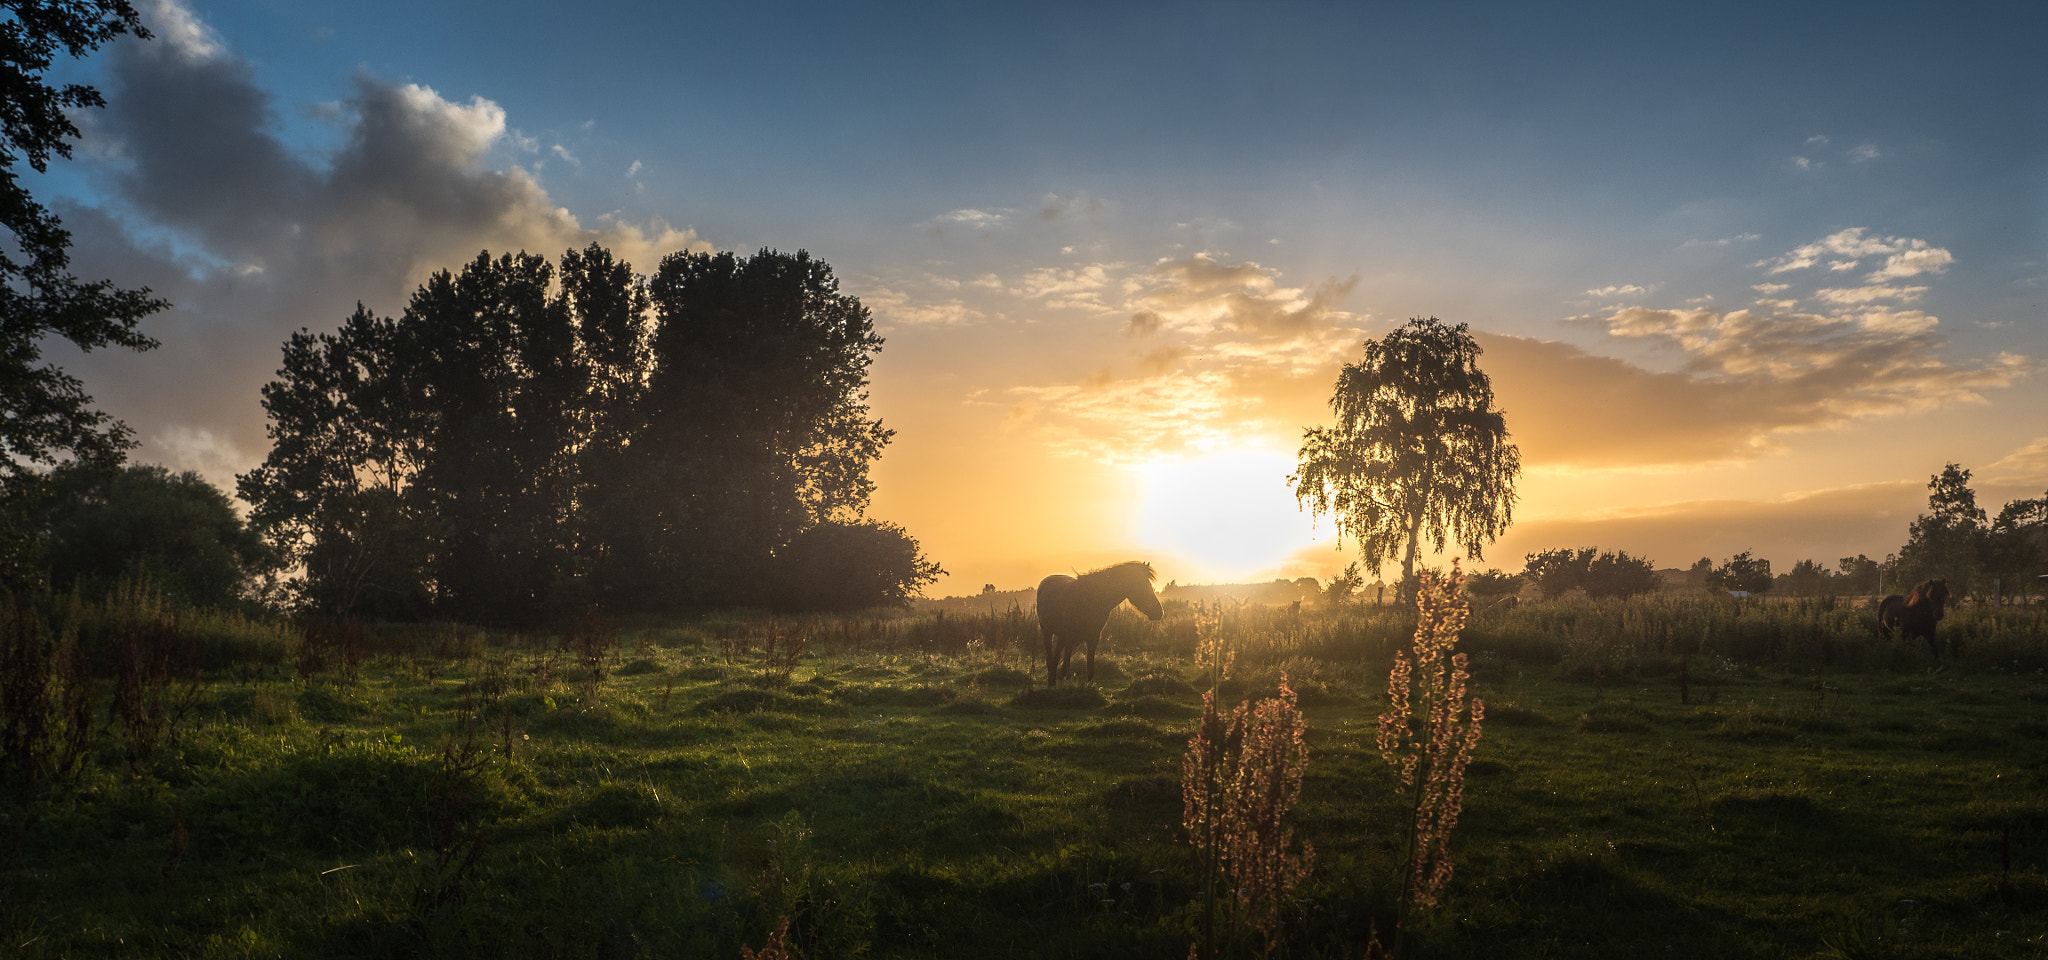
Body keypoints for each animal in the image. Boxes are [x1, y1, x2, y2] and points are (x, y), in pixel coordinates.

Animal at [1032, 560, 1163, 687]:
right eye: (1141, 585)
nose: (1159, 612)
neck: (1092, 599)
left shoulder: (1093, 637)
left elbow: (1090, 667)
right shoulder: (1070, 637)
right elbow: (1065, 666)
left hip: (1063, 637)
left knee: (1057, 658)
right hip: (1049, 632)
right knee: (1051, 659)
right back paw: (1051, 684)